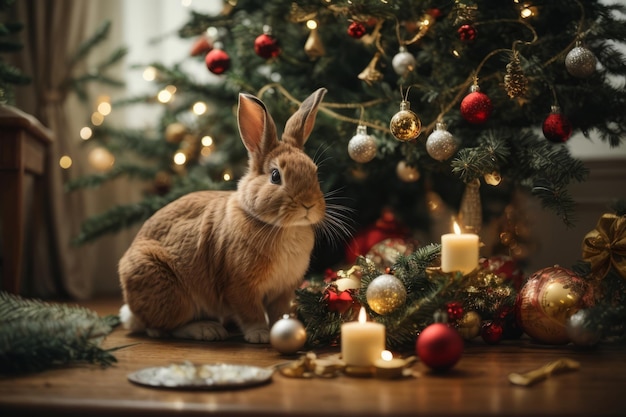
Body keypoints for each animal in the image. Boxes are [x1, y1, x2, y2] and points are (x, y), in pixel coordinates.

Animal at [119, 87, 338, 342]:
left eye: (315, 172)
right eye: (275, 176)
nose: (308, 204)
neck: (279, 226)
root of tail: (131, 311)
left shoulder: (283, 291)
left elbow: (279, 312)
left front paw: (283, 328)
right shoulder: (240, 286)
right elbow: (250, 312)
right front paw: (260, 334)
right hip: (169, 291)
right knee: (163, 328)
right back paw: (207, 329)